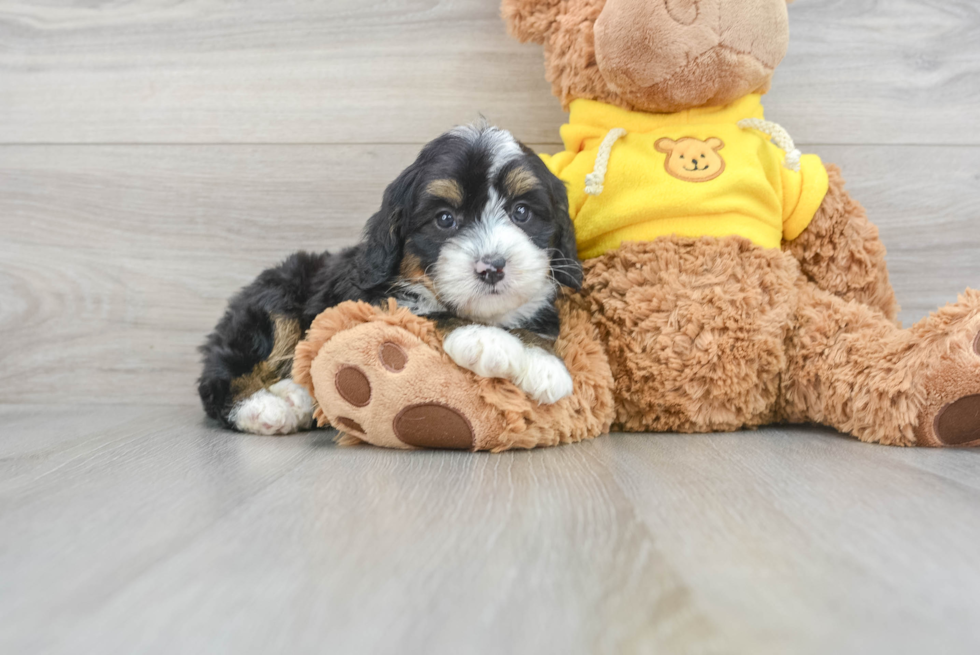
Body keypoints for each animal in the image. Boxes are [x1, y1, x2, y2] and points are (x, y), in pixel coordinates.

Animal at [199, 125, 580, 438]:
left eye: (521, 212)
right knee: (219, 380)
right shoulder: (367, 303)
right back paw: (265, 408)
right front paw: (489, 340)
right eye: (445, 219)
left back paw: (296, 395)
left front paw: (543, 362)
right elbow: (427, 314)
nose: (492, 266)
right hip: (274, 304)